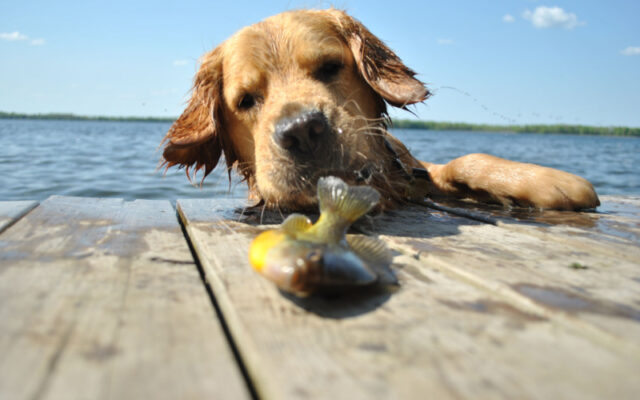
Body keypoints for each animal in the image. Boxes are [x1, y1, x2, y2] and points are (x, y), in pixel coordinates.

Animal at [160, 7, 600, 211]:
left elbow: (465, 160)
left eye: (330, 66)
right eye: (246, 100)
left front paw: (545, 180)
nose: (302, 130)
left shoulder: (416, 170)